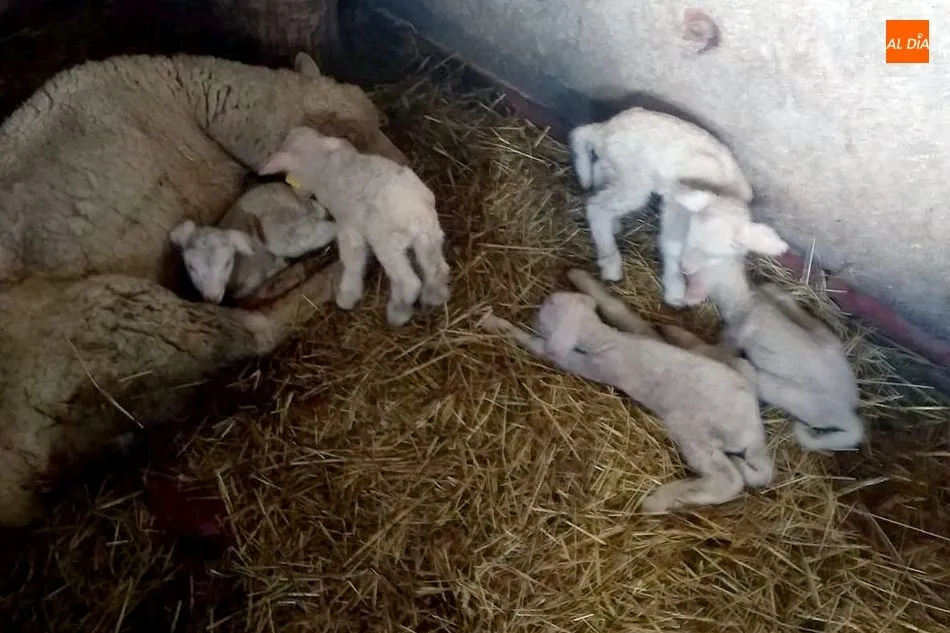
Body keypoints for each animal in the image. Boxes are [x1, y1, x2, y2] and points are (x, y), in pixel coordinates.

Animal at [258, 126, 451, 327]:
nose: (300, 196)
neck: (325, 167)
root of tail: (415, 212)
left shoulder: (348, 226)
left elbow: (352, 259)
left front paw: (347, 296)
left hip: (388, 243)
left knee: (410, 283)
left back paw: (398, 313)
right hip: (429, 236)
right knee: (437, 268)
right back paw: (435, 297)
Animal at [478, 268, 774, 514]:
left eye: (542, 315)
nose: (535, 312)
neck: (606, 339)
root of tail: (755, 431)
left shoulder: (585, 363)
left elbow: (541, 348)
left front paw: (497, 324)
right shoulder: (634, 332)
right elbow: (623, 313)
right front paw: (580, 278)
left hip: (694, 433)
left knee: (729, 479)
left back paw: (660, 501)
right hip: (739, 371)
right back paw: (677, 332)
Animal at [568, 107, 753, 297]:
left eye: (715, 256)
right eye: (693, 239)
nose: (687, 269)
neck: (727, 190)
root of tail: (608, 128)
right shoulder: (678, 206)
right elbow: (673, 244)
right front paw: (676, 288)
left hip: (617, 166)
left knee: (590, 149)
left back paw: (591, 186)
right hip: (635, 179)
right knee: (597, 207)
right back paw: (610, 261)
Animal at [673, 191, 865, 452]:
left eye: (712, 254)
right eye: (690, 233)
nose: (684, 267)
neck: (745, 299)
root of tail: (847, 408)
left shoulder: (734, 335)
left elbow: (719, 347)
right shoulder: (772, 292)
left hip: (787, 394)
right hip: (829, 340)